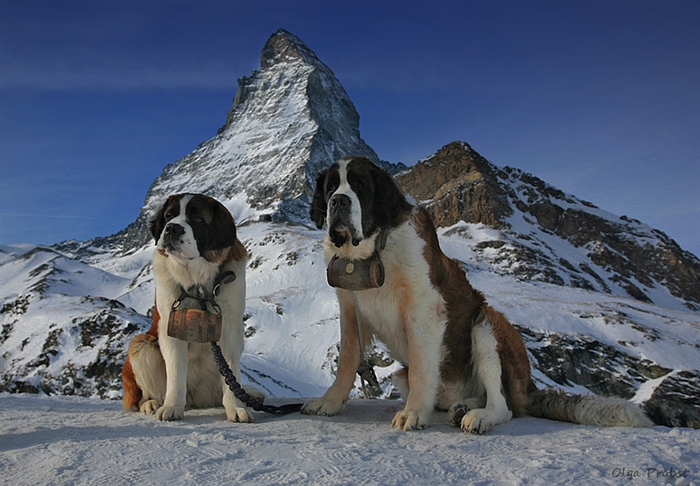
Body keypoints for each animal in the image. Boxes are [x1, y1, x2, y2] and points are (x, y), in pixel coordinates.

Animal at [121, 194, 253, 422]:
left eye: (198, 219)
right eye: (169, 216)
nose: (172, 228)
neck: (198, 282)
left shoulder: (230, 329)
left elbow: (231, 373)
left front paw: (236, 407)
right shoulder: (171, 328)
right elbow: (175, 371)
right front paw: (172, 406)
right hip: (142, 346)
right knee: (143, 394)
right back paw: (151, 403)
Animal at [304, 157, 652, 432]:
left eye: (360, 185)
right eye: (331, 188)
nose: (339, 201)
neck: (374, 248)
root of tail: (528, 388)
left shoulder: (425, 308)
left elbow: (422, 366)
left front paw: (413, 413)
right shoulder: (351, 309)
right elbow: (349, 358)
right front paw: (330, 402)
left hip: (486, 327)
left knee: (504, 406)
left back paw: (478, 416)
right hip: (410, 372)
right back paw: (459, 408)